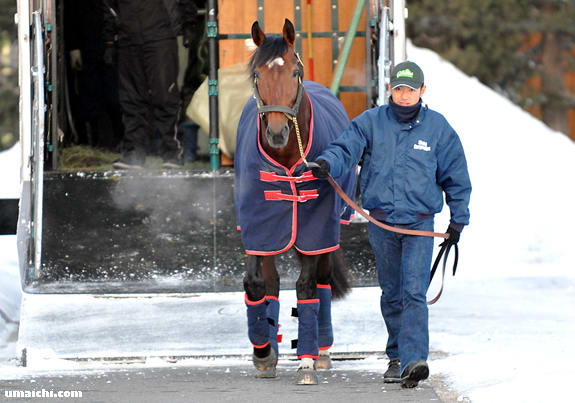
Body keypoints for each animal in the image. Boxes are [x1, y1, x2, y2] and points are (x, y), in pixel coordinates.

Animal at [233, 19, 358, 386]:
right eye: (257, 74)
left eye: (294, 72)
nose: (276, 133)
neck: (288, 160)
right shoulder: (260, 227)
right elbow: (257, 284)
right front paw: (263, 353)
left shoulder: (315, 230)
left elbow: (306, 285)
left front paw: (306, 361)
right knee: (273, 284)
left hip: (328, 232)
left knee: (323, 280)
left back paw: (321, 351)